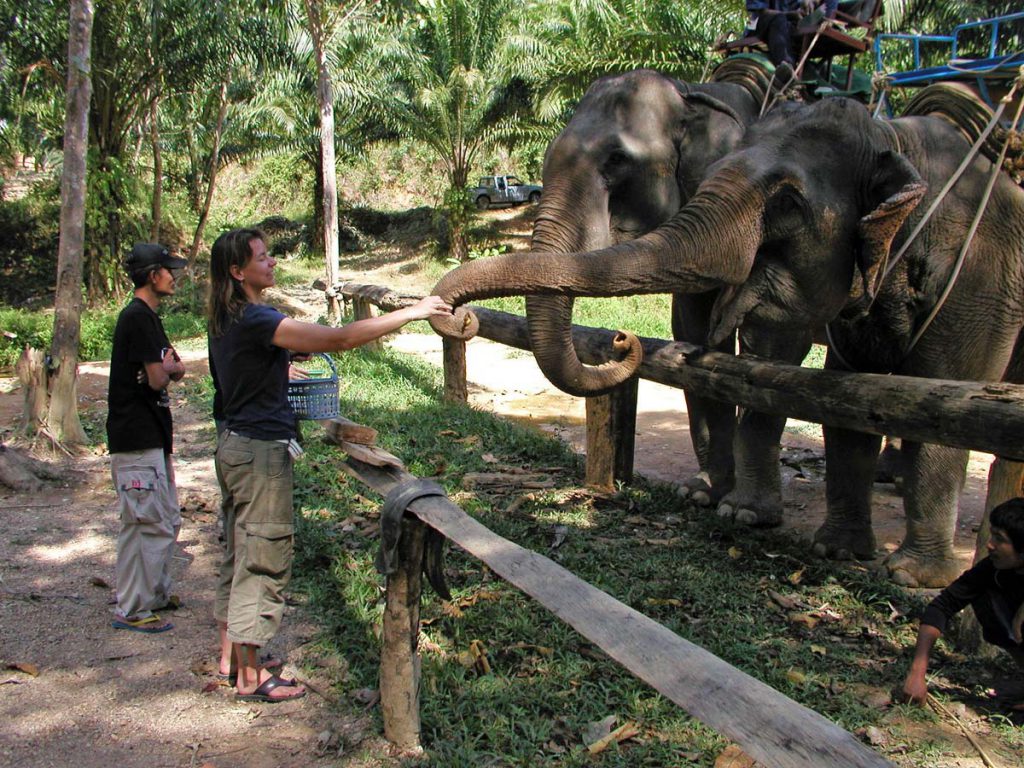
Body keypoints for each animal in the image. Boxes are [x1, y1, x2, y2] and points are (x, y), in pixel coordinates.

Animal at [432, 96, 1024, 589]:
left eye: (787, 202)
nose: (622, 341)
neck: (893, 138)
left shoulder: (980, 278)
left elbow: (936, 402)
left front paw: (910, 575)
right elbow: (848, 400)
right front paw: (830, 548)